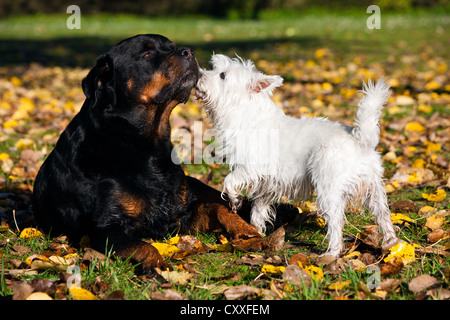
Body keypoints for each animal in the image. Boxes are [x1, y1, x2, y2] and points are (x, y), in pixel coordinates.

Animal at [33, 34, 274, 270]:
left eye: (172, 46)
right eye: (147, 53)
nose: (188, 51)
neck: (143, 144)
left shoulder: (181, 213)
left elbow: (217, 209)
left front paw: (247, 233)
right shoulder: (106, 229)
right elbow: (143, 245)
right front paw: (158, 266)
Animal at [195, 53, 400, 256]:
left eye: (222, 75)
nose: (198, 75)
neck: (244, 112)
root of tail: (358, 138)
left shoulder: (251, 168)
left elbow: (229, 180)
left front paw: (234, 199)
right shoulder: (266, 184)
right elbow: (258, 210)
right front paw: (256, 234)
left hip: (328, 189)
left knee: (336, 222)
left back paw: (332, 253)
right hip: (373, 189)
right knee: (383, 215)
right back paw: (391, 243)